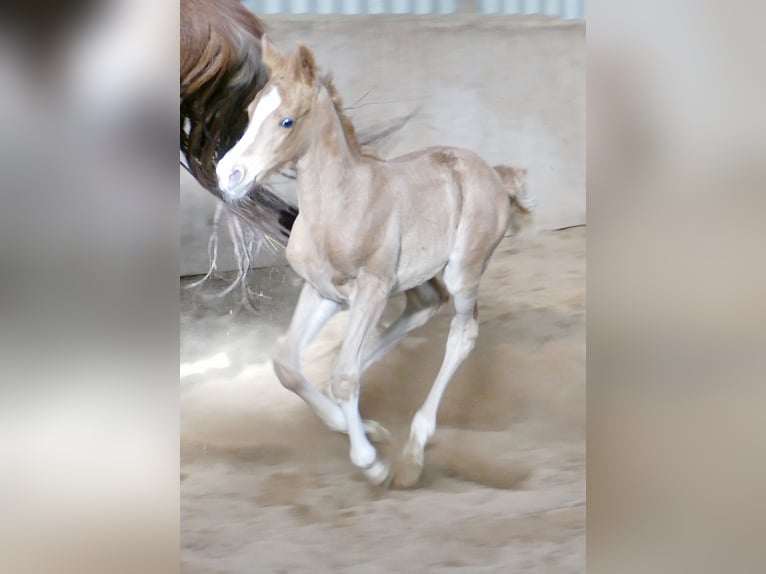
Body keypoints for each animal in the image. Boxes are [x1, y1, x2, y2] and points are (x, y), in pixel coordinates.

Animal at [215, 37, 535, 487]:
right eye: (249, 112)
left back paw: (414, 450)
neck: (342, 205)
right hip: (416, 278)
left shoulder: (371, 286)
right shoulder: (323, 291)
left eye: (287, 121)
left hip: (462, 272)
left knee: (461, 334)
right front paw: (362, 429)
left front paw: (372, 463)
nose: (229, 174)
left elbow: (344, 377)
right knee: (420, 310)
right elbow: (288, 366)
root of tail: (495, 173)